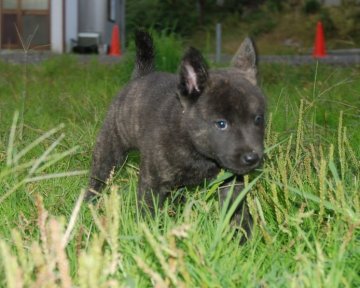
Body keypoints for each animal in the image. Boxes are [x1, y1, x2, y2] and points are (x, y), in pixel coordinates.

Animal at [86, 29, 266, 241]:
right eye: (221, 124)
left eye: (258, 119)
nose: (252, 158)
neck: (195, 148)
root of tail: (140, 77)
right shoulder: (152, 184)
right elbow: (147, 213)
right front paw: (148, 238)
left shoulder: (231, 184)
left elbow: (237, 212)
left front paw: (244, 238)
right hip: (109, 153)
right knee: (97, 180)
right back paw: (87, 205)